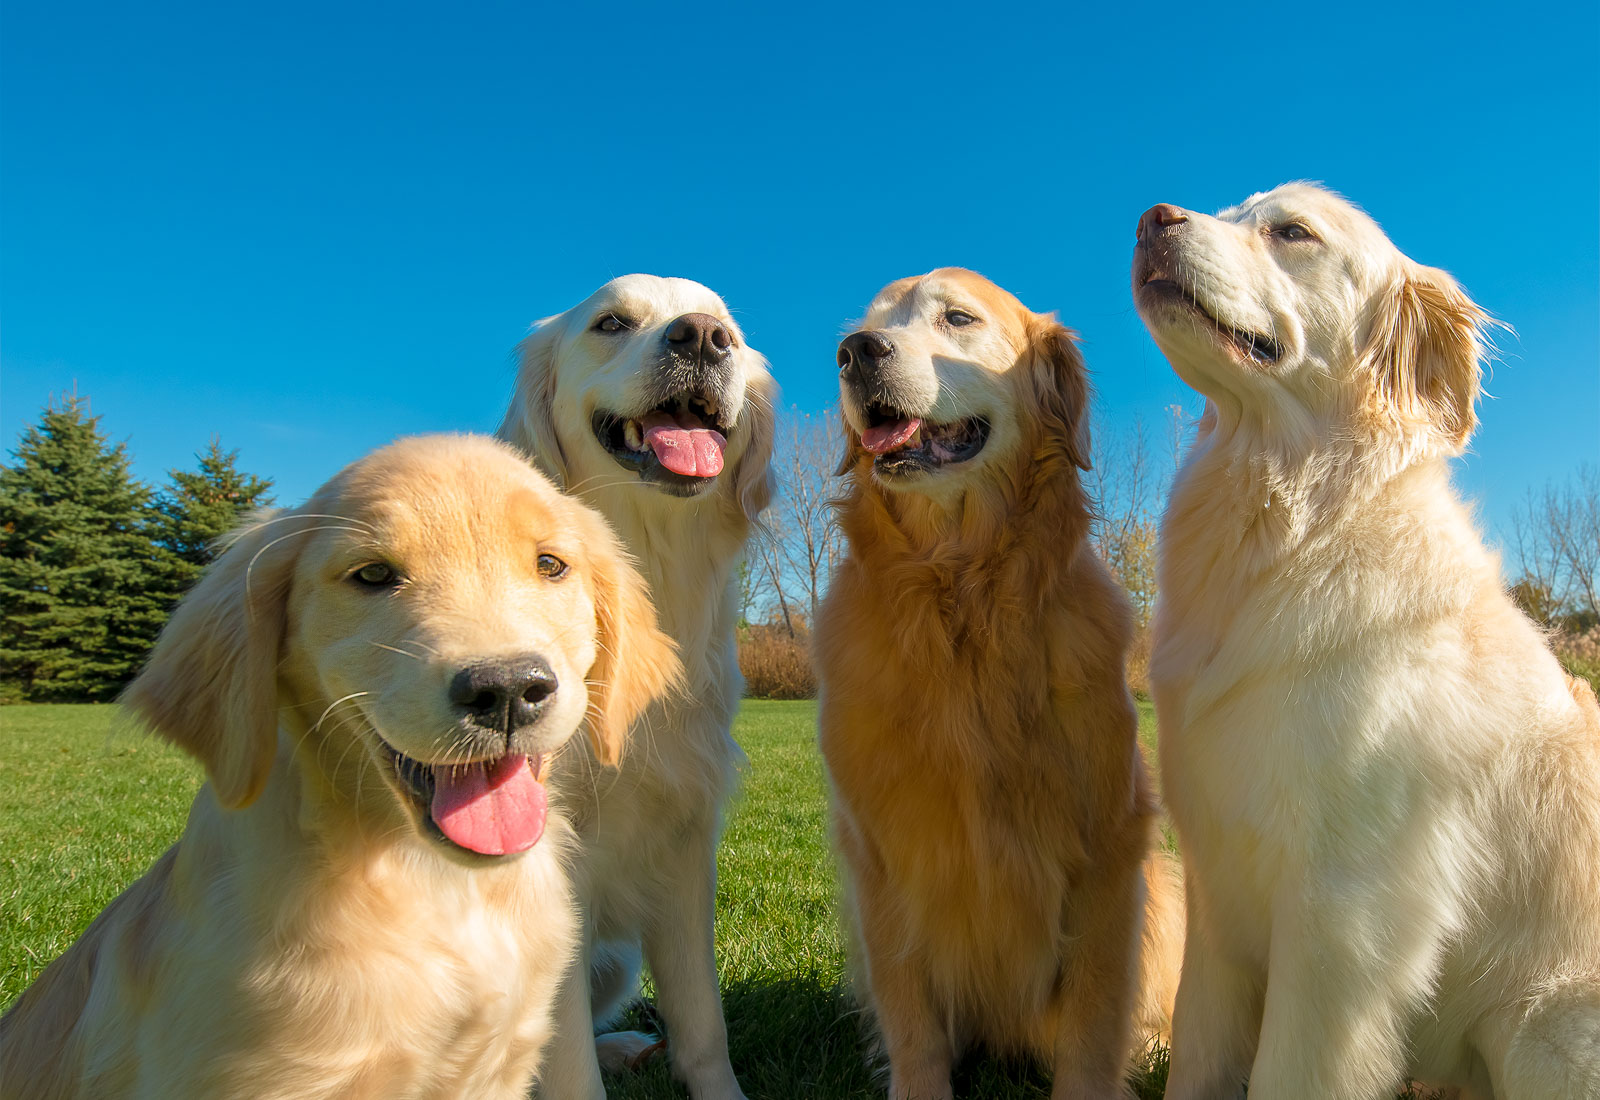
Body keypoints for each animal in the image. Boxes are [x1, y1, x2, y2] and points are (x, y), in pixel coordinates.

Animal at [499, 273, 774, 1100]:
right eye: (611, 323)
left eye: (728, 329)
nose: (703, 339)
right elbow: (566, 1067)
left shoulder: (685, 840)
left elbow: (703, 1020)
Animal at [819, 267, 1184, 1100]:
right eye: (866, 324)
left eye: (957, 319)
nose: (855, 354)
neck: (963, 594)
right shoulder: (879, 859)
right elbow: (912, 1022)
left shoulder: (1109, 848)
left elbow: (1093, 1025)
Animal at [1139, 182, 1600, 1100]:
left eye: (1292, 231)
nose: (1151, 219)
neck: (1289, 533)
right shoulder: (1216, 901)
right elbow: (1199, 1058)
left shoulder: (1341, 922)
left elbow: (1286, 1074)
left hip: (1541, 1029)